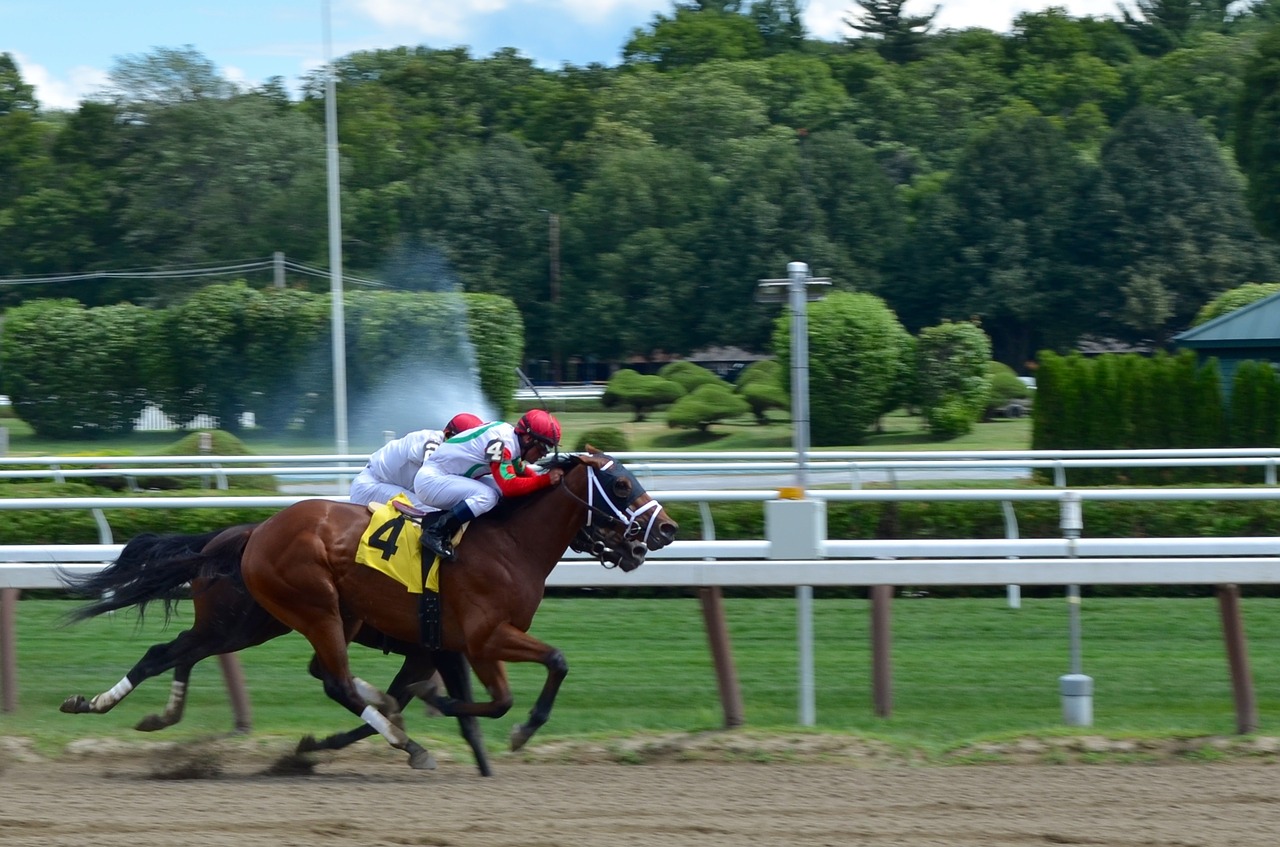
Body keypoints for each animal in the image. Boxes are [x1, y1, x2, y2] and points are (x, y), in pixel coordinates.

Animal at [63, 524, 494, 777]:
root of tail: (229, 537)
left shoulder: (423, 653)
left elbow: (401, 699)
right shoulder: (440, 649)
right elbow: (455, 712)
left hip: (239, 627)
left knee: (178, 652)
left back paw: (148, 713)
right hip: (241, 624)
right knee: (166, 653)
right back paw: (97, 703)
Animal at [238, 450, 680, 767]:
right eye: (621, 483)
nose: (667, 529)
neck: (510, 544)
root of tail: (259, 530)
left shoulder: (475, 642)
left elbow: (519, 687)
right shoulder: (483, 638)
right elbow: (532, 679)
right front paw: (488, 719)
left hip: (343, 615)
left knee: (329, 673)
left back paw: (383, 713)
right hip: (317, 608)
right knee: (338, 682)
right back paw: (405, 738)